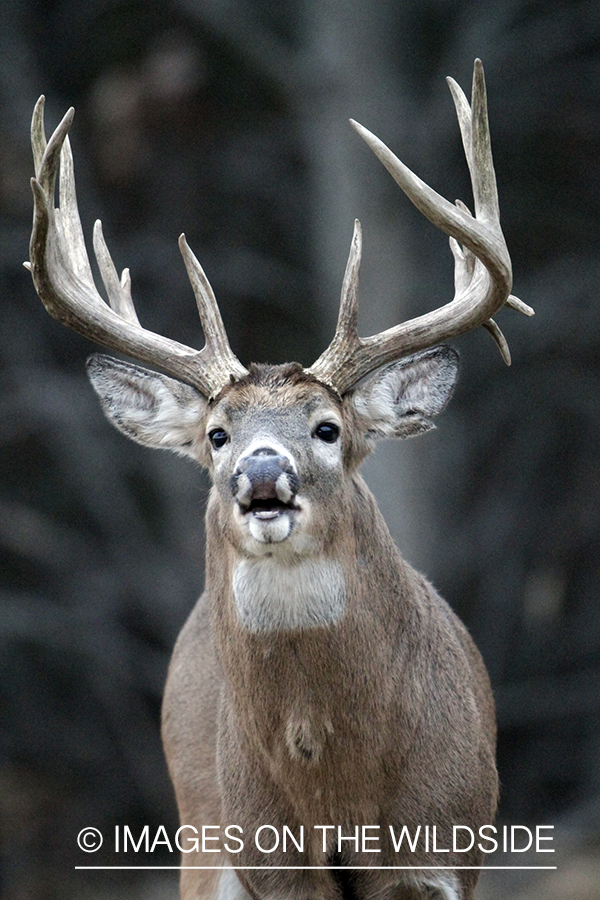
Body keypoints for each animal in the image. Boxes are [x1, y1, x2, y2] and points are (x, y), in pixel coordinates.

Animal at [28, 59, 536, 896]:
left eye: (328, 429)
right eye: (217, 435)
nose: (263, 469)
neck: (337, 792)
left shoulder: (443, 849)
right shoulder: (270, 861)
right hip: (201, 842)